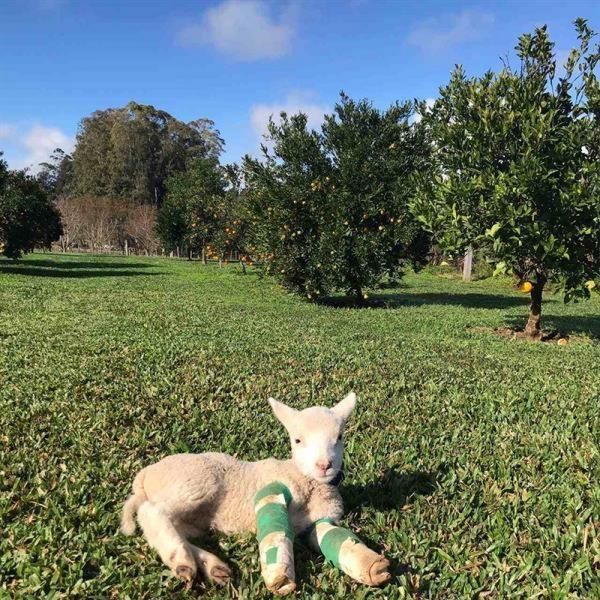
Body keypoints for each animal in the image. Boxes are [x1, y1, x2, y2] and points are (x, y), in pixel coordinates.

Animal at [122, 394, 394, 596]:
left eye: (339, 437)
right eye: (297, 440)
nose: (324, 465)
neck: (309, 485)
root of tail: (144, 476)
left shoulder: (318, 521)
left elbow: (333, 538)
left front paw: (370, 565)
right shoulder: (276, 490)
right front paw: (280, 576)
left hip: (193, 516)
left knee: (174, 527)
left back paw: (212, 567)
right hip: (193, 484)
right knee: (151, 513)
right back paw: (183, 562)